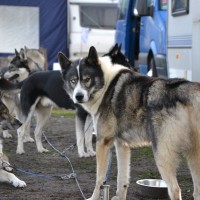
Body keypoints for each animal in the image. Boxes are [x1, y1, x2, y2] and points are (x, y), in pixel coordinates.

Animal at [58, 45, 200, 200]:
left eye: (87, 79)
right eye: (73, 81)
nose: (78, 96)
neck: (106, 84)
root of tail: (188, 90)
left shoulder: (103, 142)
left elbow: (99, 179)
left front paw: (94, 197)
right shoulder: (122, 145)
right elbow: (122, 179)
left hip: (162, 155)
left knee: (175, 189)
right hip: (193, 156)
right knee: (197, 190)